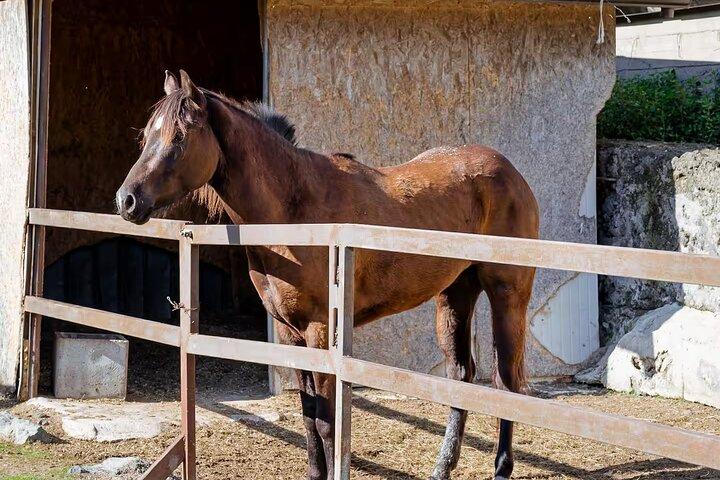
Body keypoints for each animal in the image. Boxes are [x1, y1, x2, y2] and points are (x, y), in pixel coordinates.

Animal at [116, 70, 539, 480]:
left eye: (179, 137)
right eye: (145, 136)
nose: (127, 200)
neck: (297, 213)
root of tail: (510, 172)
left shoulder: (321, 332)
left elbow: (326, 423)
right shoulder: (290, 333)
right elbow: (307, 417)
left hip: (507, 294)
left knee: (506, 382)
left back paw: (501, 469)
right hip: (454, 295)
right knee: (462, 376)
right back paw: (442, 467)